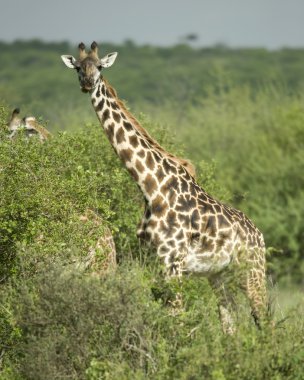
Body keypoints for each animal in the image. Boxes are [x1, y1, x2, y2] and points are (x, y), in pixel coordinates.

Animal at [61, 42, 266, 332]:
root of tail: (259, 235)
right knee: (230, 325)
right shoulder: (154, 261)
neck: (151, 187)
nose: (88, 83)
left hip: (251, 269)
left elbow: (176, 319)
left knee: (264, 319)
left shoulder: (173, 261)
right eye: (78, 68)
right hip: (218, 273)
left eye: (100, 66)